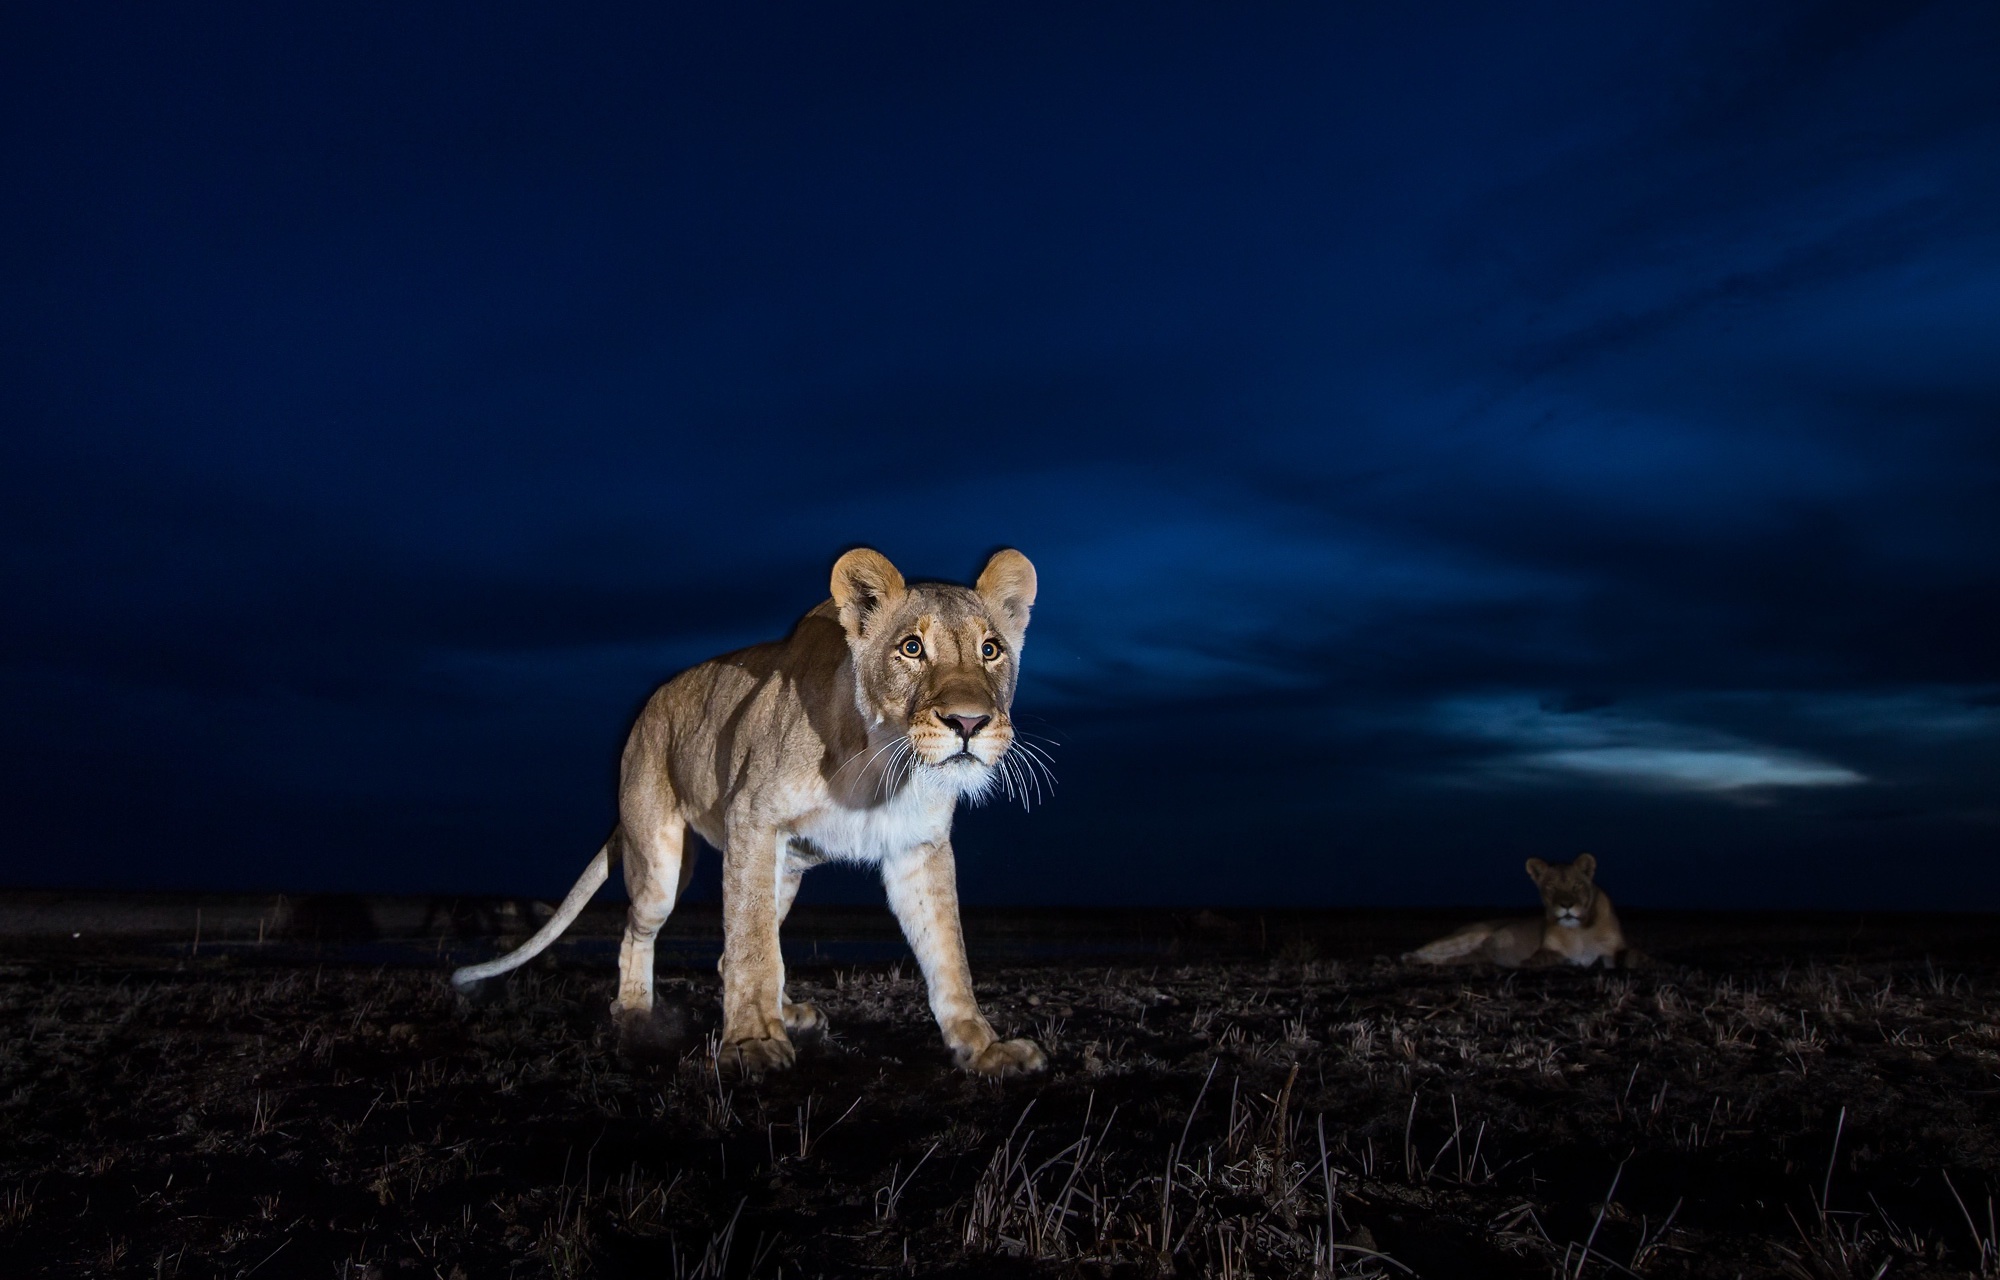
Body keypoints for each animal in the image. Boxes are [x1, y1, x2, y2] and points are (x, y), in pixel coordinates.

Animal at [1408, 856, 1640, 964]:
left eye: (1576, 886)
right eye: (1551, 887)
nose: (1566, 905)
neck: (1579, 931)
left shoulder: (1615, 948)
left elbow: (1633, 956)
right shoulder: (1545, 950)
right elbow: (1546, 958)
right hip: (1467, 936)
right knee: (1422, 951)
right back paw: (1413, 958)